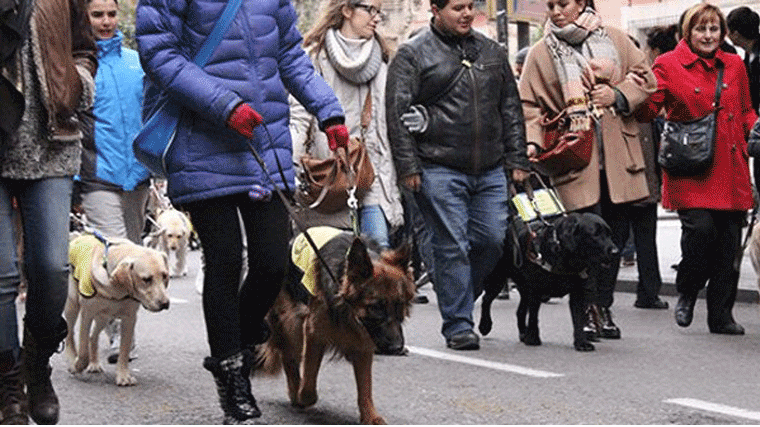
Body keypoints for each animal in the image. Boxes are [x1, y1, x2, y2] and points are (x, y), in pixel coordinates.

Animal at [64, 234, 170, 388]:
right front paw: (78, 365)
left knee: (92, 337)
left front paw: (123, 376)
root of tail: (78, 236)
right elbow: (83, 350)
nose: (165, 303)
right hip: (73, 306)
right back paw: (72, 359)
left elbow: (124, 351)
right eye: (146, 279)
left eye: (165, 276)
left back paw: (94, 363)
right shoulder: (87, 314)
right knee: (70, 334)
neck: (116, 288)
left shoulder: (130, 319)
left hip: (104, 317)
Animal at [255, 231, 412, 424]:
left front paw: (370, 416)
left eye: (400, 305)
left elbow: (365, 387)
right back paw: (294, 391)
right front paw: (302, 396)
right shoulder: (313, 332)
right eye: (376, 307)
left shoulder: (363, 344)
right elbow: (309, 382)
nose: (397, 348)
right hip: (293, 323)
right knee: (289, 357)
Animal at [480, 212, 616, 352]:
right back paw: (485, 325)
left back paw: (523, 332)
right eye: (595, 234)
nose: (615, 252)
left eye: (609, 234)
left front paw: (581, 342)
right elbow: (534, 317)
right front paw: (533, 338)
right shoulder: (536, 290)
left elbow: (578, 319)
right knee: (486, 300)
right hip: (498, 279)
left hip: (523, 288)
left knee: (520, 311)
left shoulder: (577, 293)